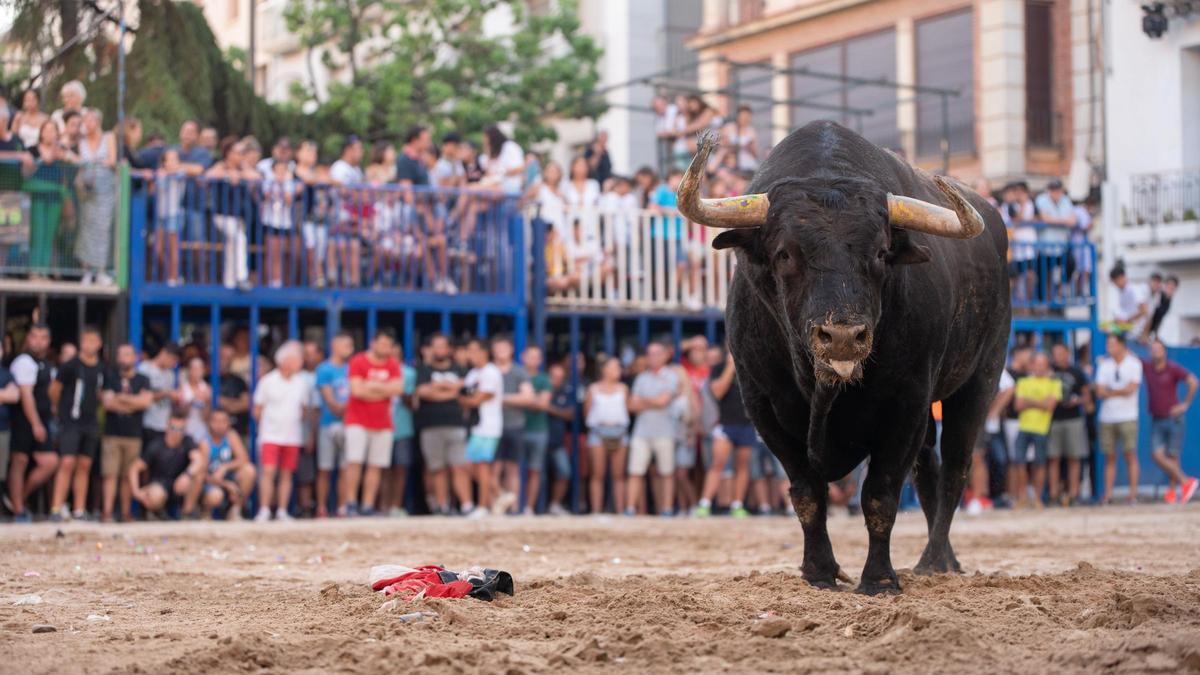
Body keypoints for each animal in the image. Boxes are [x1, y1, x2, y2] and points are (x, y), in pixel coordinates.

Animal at [700, 121, 1012, 593]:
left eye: (881, 253)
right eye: (784, 253)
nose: (843, 337)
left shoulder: (907, 403)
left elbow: (880, 496)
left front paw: (879, 579)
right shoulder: (762, 406)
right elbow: (807, 495)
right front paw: (819, 572)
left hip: (981, 379)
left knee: (955, 470)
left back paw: (935, 560)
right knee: (929, 472)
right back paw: (946, 560)